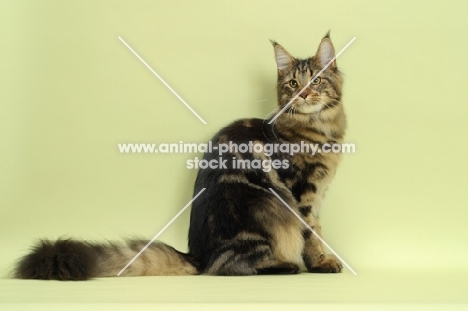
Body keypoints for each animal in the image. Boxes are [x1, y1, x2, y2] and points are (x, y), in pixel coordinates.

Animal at [14, 34, 346, 280]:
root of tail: (198, 255)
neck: (319, 130)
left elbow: (318, 230)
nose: (304, 93)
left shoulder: (318, 193)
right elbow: (310, 233)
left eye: (316, 80)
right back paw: (285, 265)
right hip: (263, 207)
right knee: (229, 267)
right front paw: (319, 263)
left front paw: (324, 258)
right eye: (293, 83)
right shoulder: (301, 191)